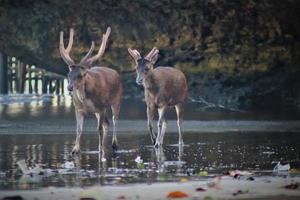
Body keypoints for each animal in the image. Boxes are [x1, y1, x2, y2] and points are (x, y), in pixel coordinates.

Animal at [59, 26, 122, 155]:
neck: (85, 100)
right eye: (68, 74)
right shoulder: (78, 109)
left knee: (115, 120)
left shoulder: (102, 107)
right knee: (107, 123)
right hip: (98, 111)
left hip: (117, 100)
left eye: (81, 75)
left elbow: (99, 129)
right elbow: (78, 129)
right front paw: (75, 149)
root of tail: (116, 72)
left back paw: (114, 144)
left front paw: (100, 150)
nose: (69, 87)